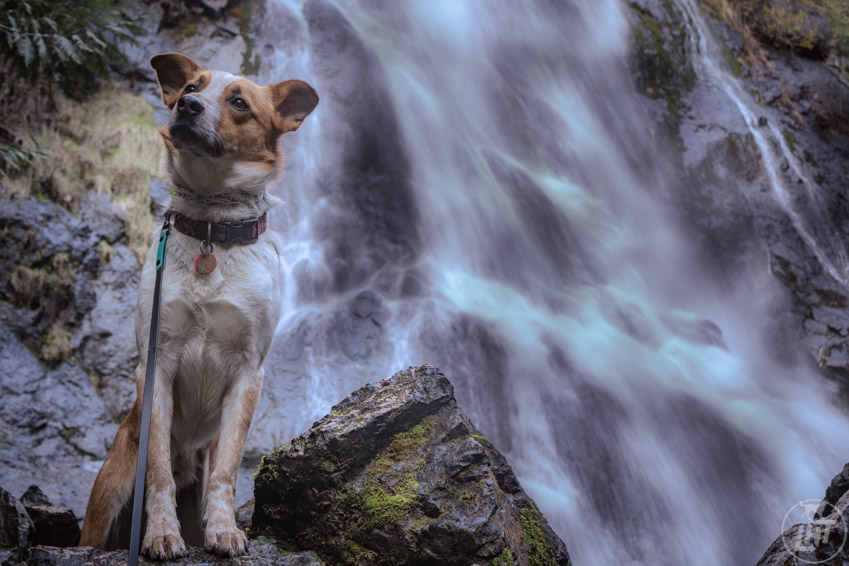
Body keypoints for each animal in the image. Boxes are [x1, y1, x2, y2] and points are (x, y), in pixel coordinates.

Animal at [78, 52, 318, 560]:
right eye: (191, 87)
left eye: (240, 102)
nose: (187, 106)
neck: (213, 229)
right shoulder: (156, 363)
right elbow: (158, 472)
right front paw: (160, 533)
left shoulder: (249, 372)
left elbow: (227, 468)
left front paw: (225, 529)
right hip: (106, 501)